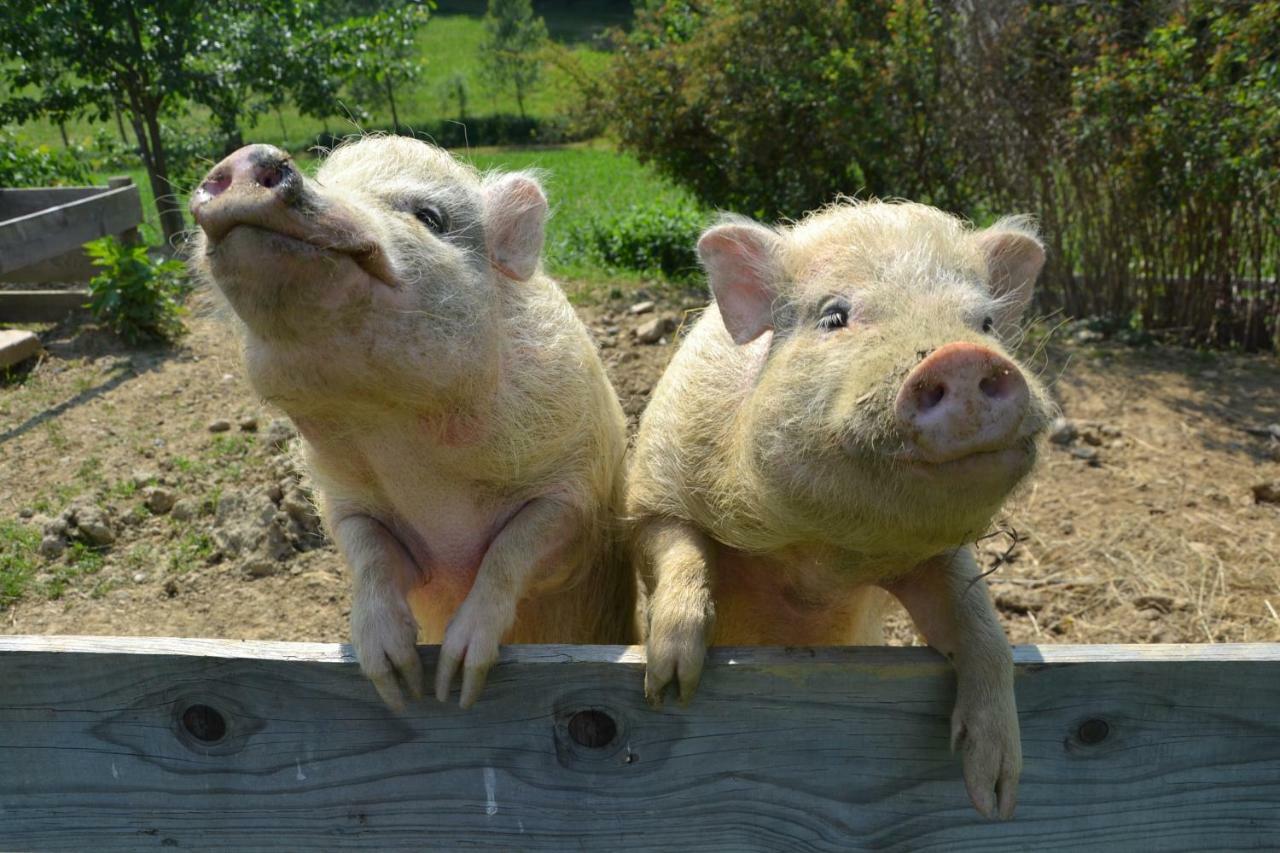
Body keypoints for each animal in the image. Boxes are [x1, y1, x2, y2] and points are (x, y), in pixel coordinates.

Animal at [188, 136, 629, 706]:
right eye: (329, 179)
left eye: (429, 216)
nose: (249, 157)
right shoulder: (344, 501)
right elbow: (370, 557)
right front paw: (398, 684)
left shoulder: (578, 491)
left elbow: (513, 550)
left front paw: (454, 685)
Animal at [629, 201, 1049, 819]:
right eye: (834, 316)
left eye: (987, 324)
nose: (962, 357)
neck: (818, 560)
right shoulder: (651, 490)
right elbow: (678, 548)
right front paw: (669, 687)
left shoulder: (935, 559)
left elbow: (981, 627)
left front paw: (995, 798)